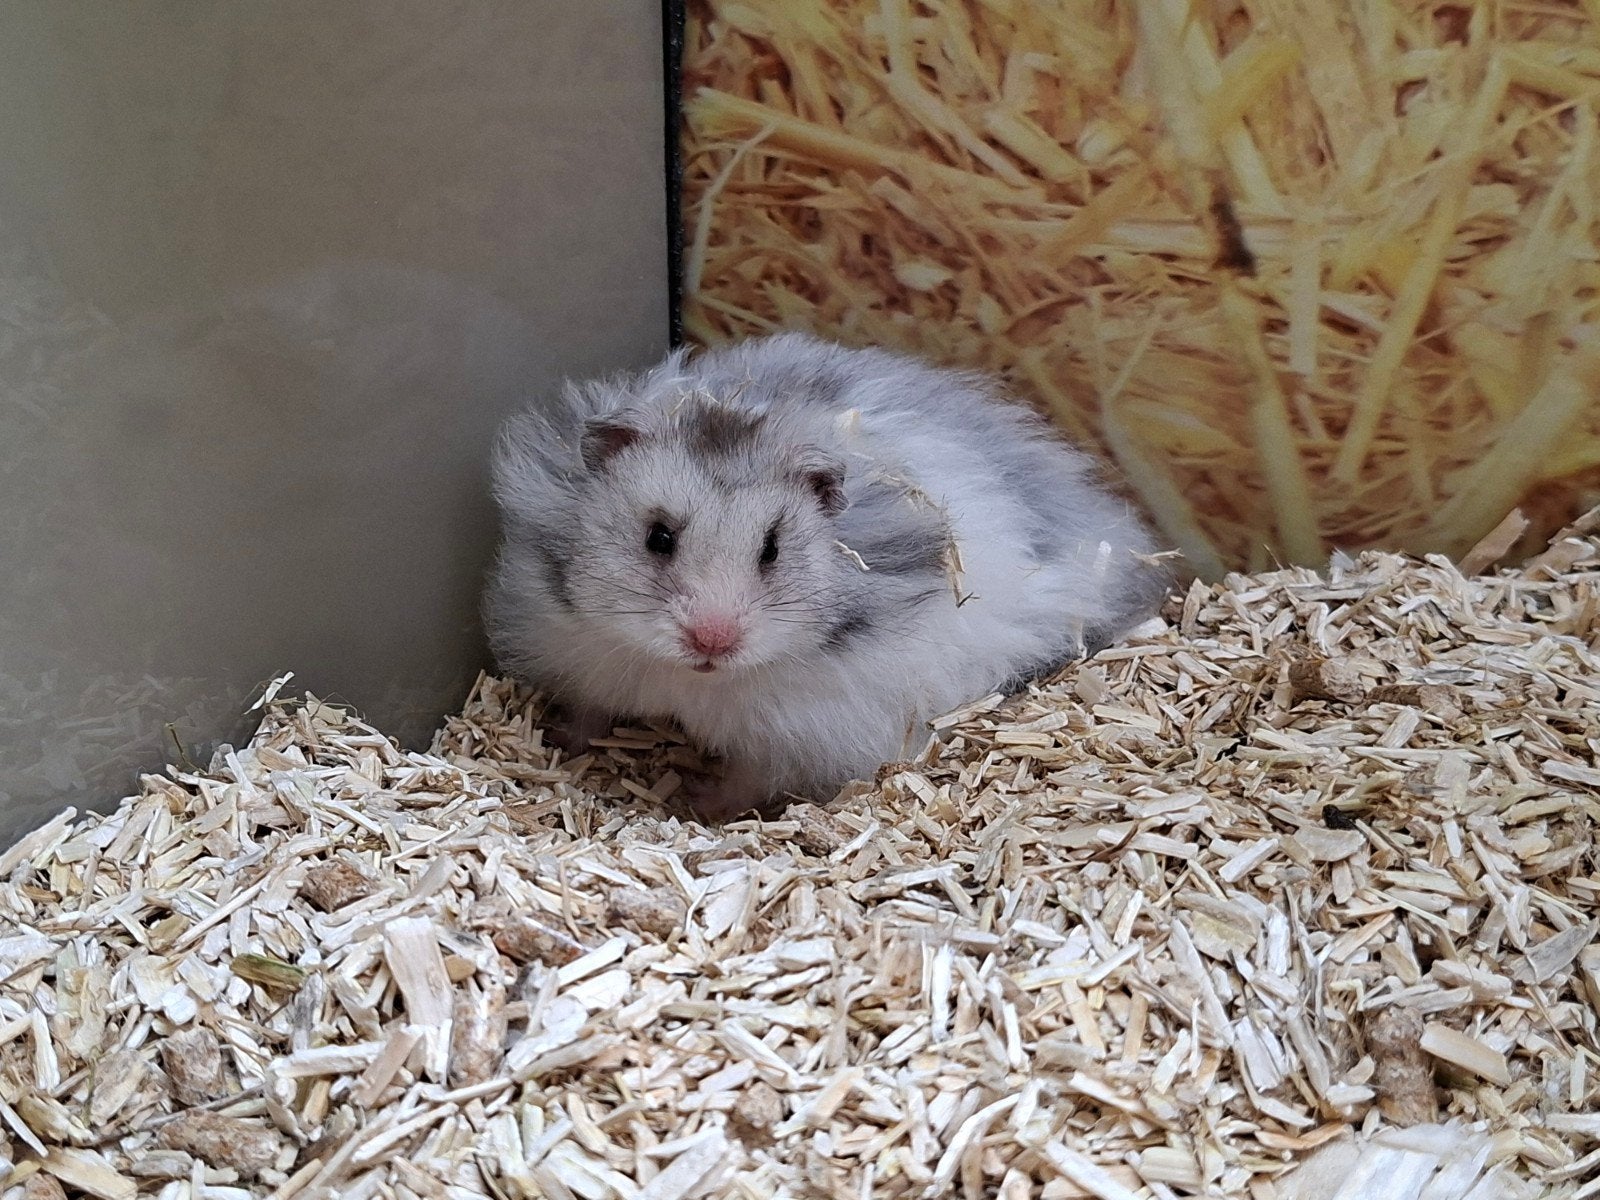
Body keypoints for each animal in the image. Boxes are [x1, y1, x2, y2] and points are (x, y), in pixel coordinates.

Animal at [485, 332, 1168, 818]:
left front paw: (698, 805)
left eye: (772, 548)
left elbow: (747, 779)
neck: (695, 682)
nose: (711, 640)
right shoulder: (578, 656)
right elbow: (589, 714)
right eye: (658, 537)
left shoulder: (802, 735)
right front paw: (562, 745)